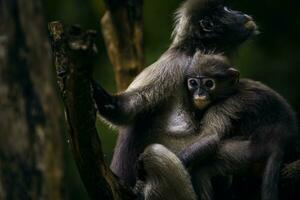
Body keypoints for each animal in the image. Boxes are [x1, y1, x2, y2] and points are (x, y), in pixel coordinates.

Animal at [176, 52, 298, 200]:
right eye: (193, 83)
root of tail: (281, 140)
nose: (199, 94)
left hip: (251, 151)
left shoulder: (223, 106)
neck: (231, 92)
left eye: (209, 83)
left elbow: (210, 137)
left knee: (201, 169)